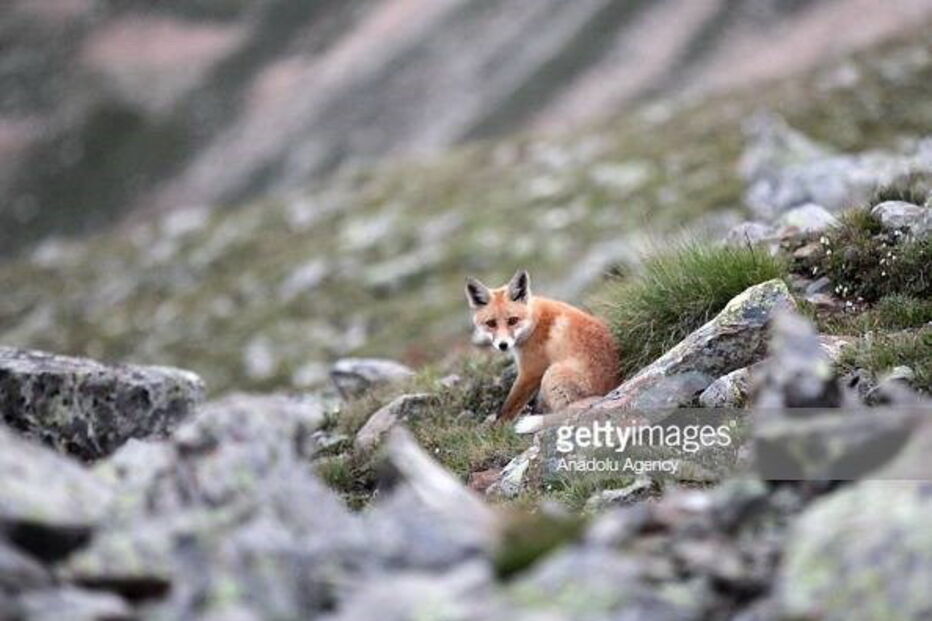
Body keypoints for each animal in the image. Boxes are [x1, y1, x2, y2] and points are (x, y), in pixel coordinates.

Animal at [465, 269, 619, 432]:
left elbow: (509, 407)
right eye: (491, 323)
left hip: (551, 374)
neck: (535, 322)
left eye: (513, 320)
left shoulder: (531, 372)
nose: (503, 345)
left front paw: (496, 429)